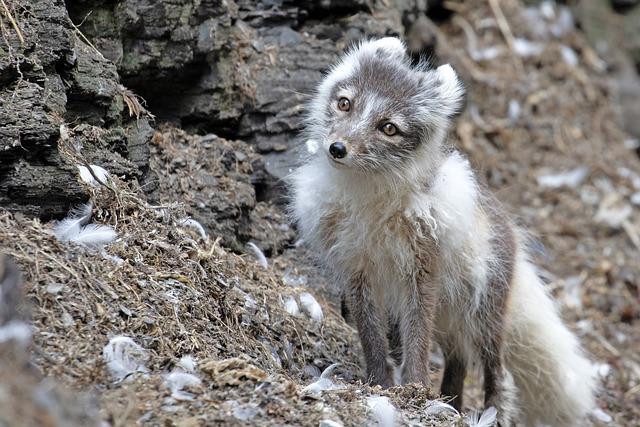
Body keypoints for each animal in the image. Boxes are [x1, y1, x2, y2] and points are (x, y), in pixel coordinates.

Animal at [288, 38, 596, 426]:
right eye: (345, 103)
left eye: (388, 127)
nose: (337, 148)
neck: (369, 200)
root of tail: (508, 226)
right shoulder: (357, 270)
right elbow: (371, 335)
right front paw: (378, 384)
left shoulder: (422, 268)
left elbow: (418, 335)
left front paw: (415, 389)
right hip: (451, 317)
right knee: (458, 359)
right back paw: (452, 402)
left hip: (484, 313)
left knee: (497, 370)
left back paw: (491, 413)